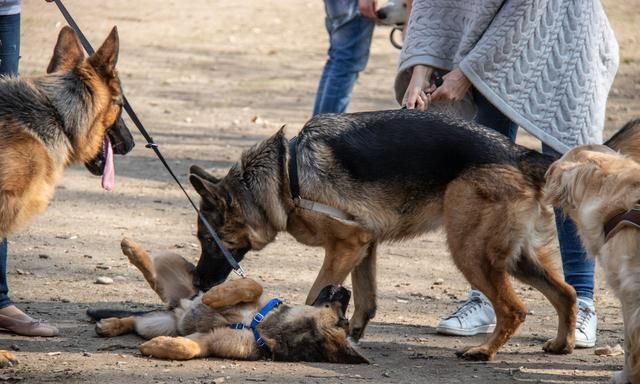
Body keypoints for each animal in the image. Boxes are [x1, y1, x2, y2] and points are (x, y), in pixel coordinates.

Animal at [89, 238, 370, 364]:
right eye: (344, 313)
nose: (347, 291)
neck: (269, 327)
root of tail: (176, 307)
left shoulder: (211, 342)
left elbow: (189, 348)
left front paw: (158, 347)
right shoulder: (256, 297)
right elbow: (252, 285)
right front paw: (214, 297)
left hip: (160, 323)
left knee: (141, 311)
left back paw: (111, 324)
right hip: (175, 273)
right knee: (152, 270)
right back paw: (132, 248)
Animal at [185, 109, 636, 362]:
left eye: (207, 241)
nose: (198, 284)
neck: (284, 175)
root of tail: (519, 153)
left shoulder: (344, 246)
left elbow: (317, 293)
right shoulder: (363, 246)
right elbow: (365, 300)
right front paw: (350, 334)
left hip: (471, 253)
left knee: (514, 309)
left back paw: (483, 352)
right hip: (516, 258)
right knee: (565, 292)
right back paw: (561, 345)